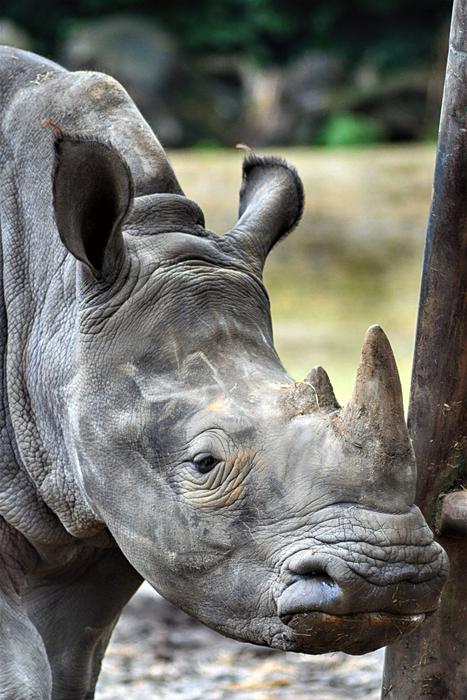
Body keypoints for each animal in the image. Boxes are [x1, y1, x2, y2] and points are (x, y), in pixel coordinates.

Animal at [0, 46, 448, 700]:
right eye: (205, 464)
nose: (392, 579)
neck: (50, 300)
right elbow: (23, 667)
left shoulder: (106, 510)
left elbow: (68, 661)